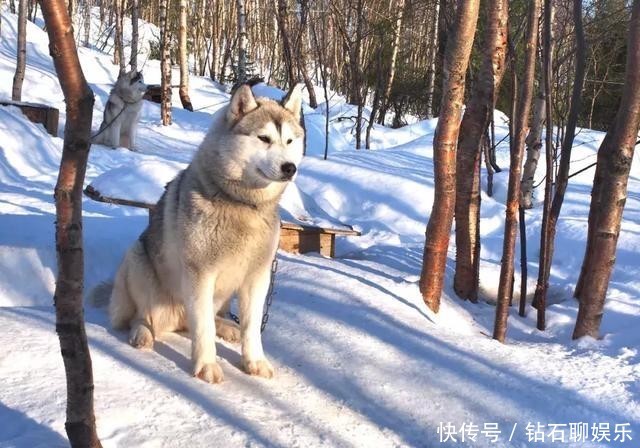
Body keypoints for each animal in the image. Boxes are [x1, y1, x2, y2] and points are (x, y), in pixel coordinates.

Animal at [108, 86, 304, 384]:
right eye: (264, 138)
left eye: (290, 141)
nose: (289, 167)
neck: (241, 204)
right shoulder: (200, 273)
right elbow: (203, 329)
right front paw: (207, 366)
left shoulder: (258, 276)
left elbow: (251, 326)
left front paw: (254, 362)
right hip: (138, 259)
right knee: (143, 316)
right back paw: (142, 334)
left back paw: (227, 327)